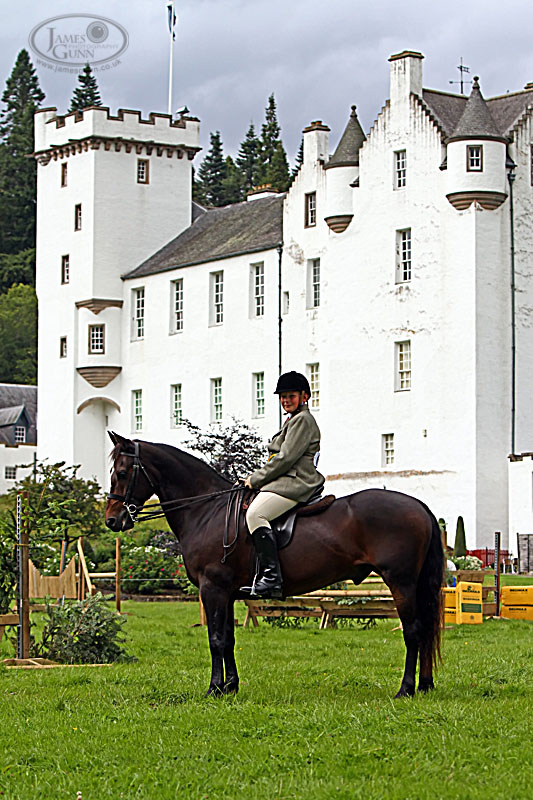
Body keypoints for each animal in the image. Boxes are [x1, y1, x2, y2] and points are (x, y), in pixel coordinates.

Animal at [105, 432, 444, 698]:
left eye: (121, 473)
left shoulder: (212, 588)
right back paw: (424, 685)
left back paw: (405, 689)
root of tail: (419, 505)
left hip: (400, 582)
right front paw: (230, 687)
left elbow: (215, 640)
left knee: (413, 630)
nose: (111, 520)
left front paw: (214, 689)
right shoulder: (226, 593)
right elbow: (228, 639)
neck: (207, 509)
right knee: (424, 629)